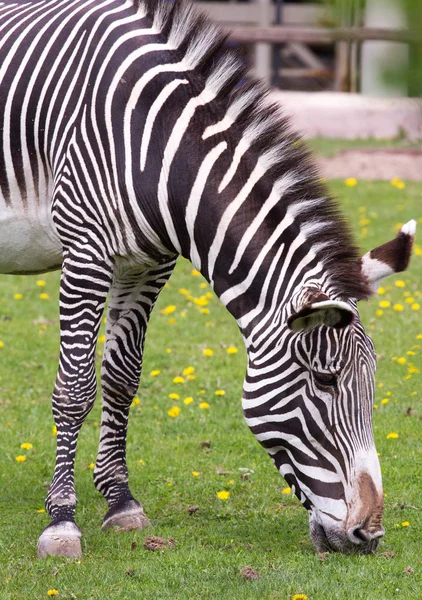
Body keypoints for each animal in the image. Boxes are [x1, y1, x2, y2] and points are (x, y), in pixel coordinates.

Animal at [0, 0, 416, 556]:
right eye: (326, 380)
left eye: (373, 383)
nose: (368, 536)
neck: (157, 147)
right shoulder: (85, 252)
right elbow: (75, 387)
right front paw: (62, 520)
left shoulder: (149, 262)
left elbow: (122, 378)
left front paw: (121, 502)